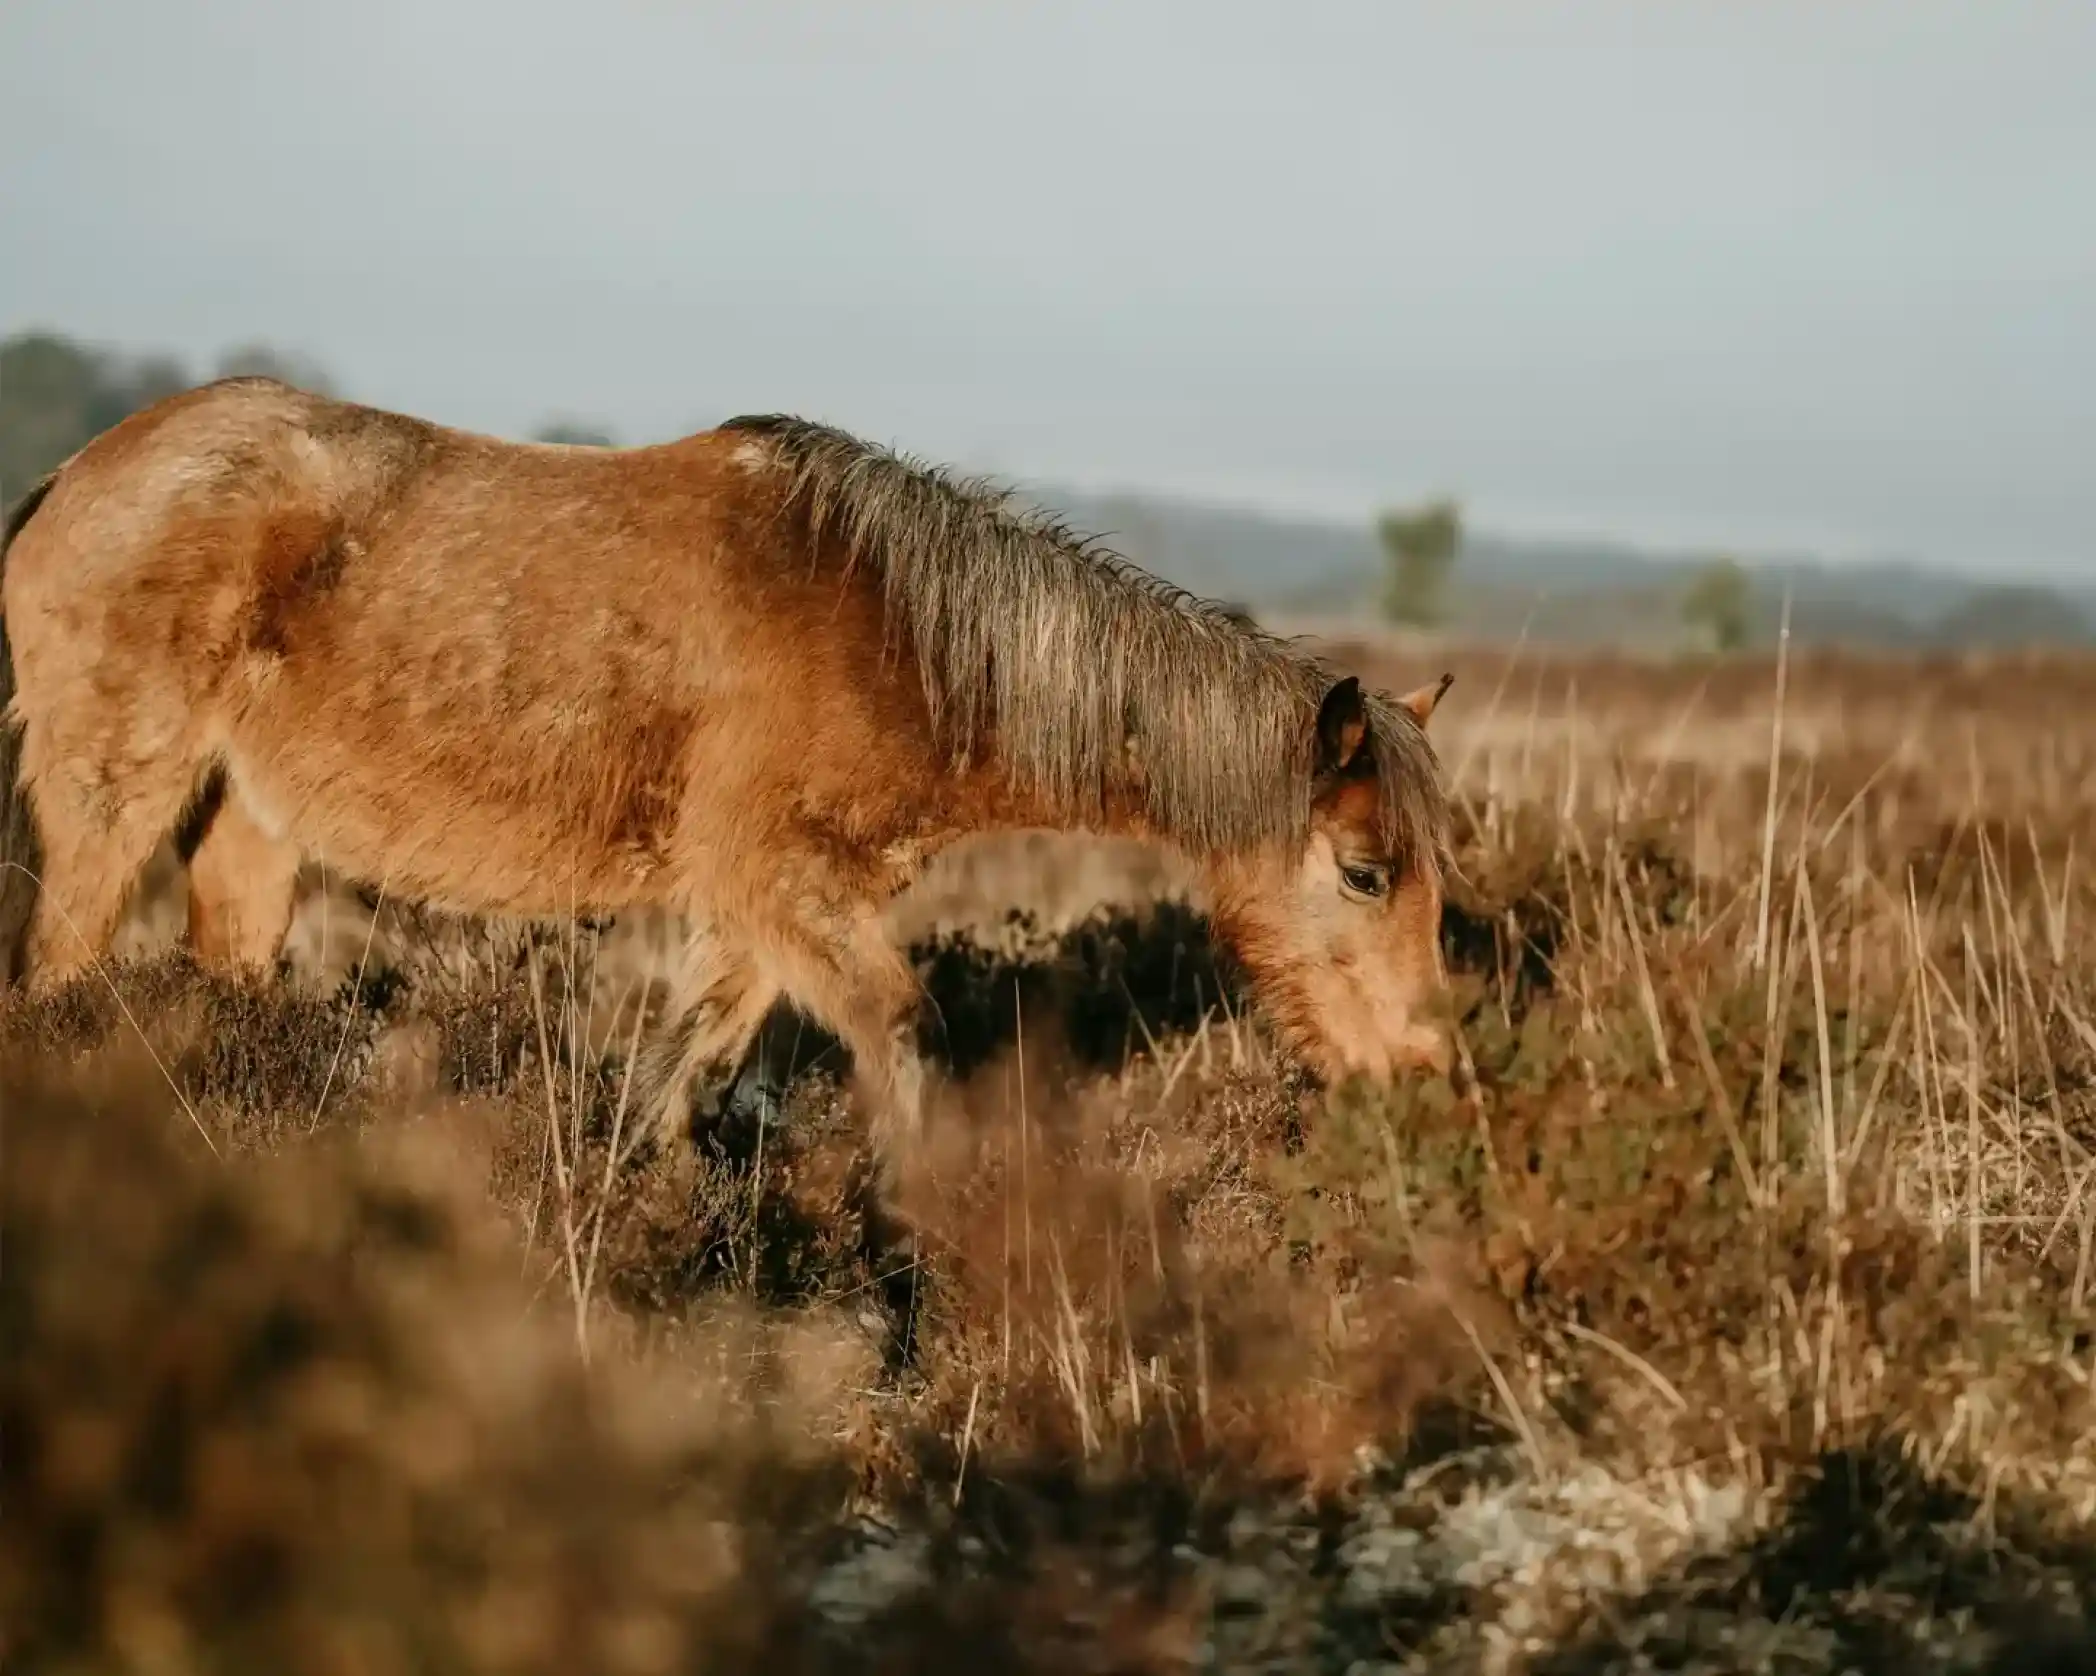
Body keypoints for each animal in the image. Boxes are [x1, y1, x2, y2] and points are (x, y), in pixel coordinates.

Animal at [0, 378, 1456, 1182]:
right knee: (55, 984)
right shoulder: (782, 890)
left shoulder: (756, 917)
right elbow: (900, 1034)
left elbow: (678, 1082)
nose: (1418, 1081)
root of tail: (78, 472)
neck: (899, 629)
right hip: (110, 800)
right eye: (1363, 872)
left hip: (246, 826)